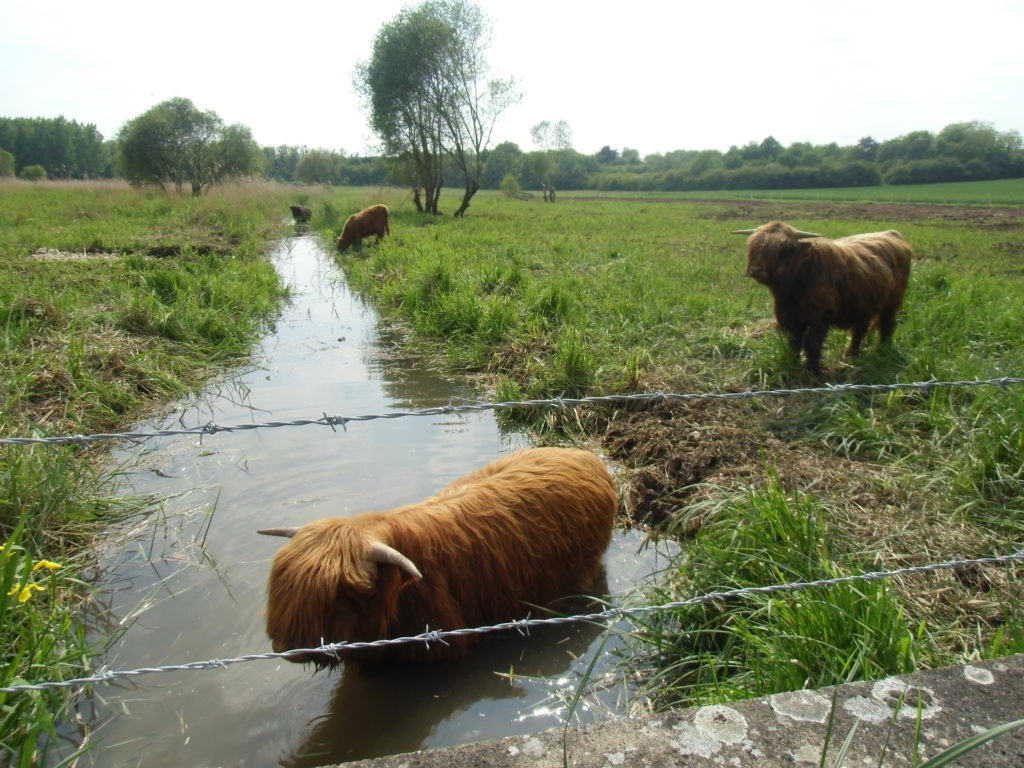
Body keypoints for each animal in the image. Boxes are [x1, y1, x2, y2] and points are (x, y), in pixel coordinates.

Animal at [733, 221, 917, 376]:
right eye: (754, 246)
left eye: (783, 249)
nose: (756, 269)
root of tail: (891, 233)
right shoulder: (791, 317)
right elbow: (794, 343)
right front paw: (793, 364)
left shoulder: (820, 318)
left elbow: (812, 344)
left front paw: (813, 371)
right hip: (863, 303)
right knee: (860, 330)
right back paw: (850, 355)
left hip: (891, 304)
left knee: (887, 325)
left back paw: (881, 350)